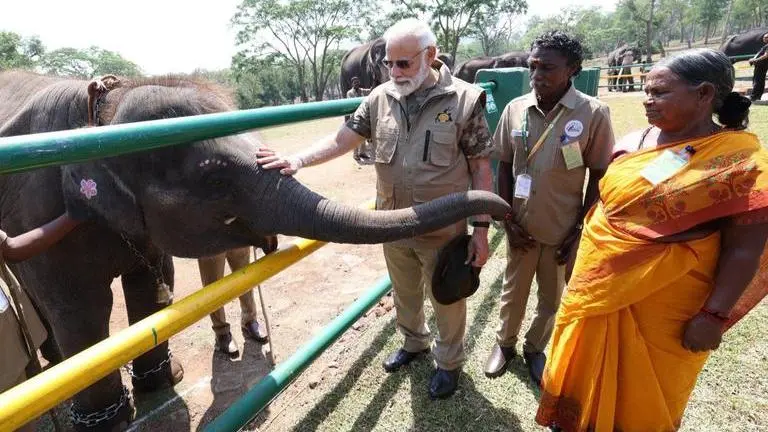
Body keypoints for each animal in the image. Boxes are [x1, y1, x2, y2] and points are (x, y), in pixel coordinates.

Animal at [0, 70, 511, 430]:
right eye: (213, 179)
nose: (503, 209)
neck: (101, 113)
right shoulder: (38, 211)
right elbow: (79, 306)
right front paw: (109, 423)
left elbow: (150, 285)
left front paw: (164, 382)